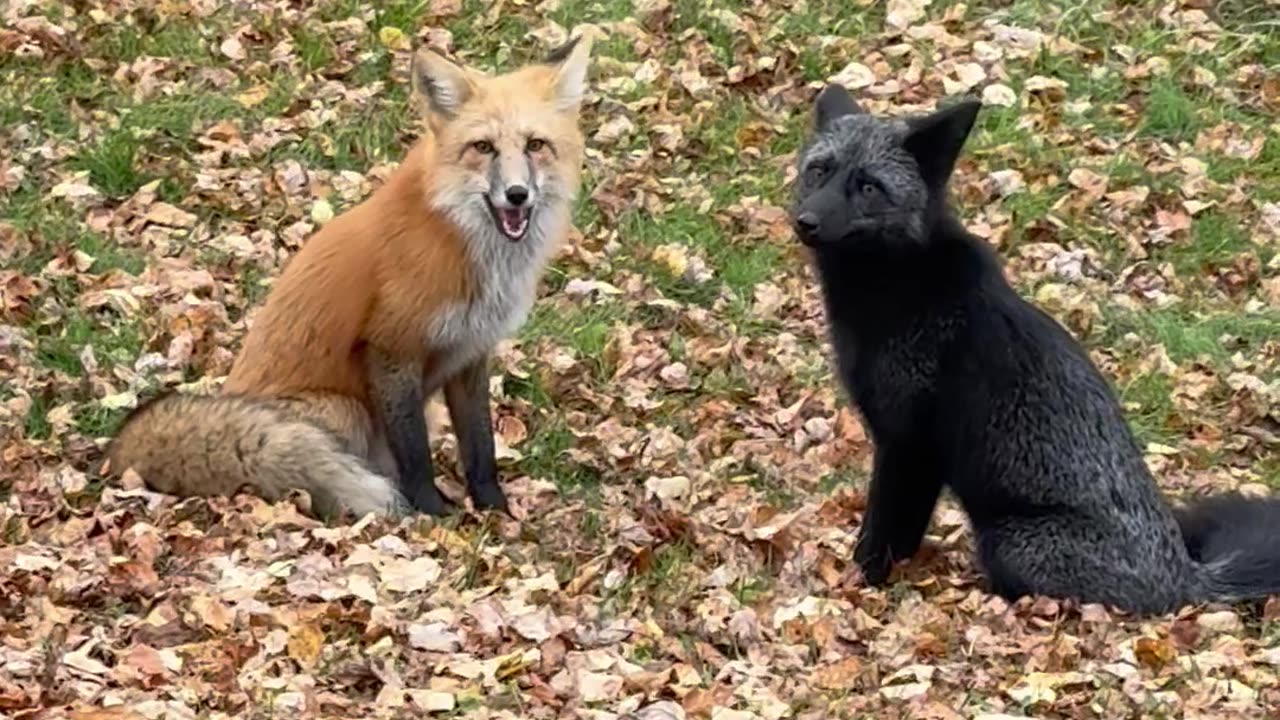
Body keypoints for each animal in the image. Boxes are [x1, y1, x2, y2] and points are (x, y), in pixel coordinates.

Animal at [105, 37, 594, 521]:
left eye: (535, 145)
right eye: (484, 147)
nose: (517, 195)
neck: (459, 237)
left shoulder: (470, 352)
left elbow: (481, 445)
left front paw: (495, 509)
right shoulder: (391, 348)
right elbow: (415, 454)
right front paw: (430, 515)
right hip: (347, 411)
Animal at [790, 83, 1280, 615]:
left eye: (868, 187)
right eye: (819, 170)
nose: (805, 221)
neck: (899, 285)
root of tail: (1185, 582)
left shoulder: (909, 447)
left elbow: (882, 538)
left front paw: (858, 587)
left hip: (1006, 542)